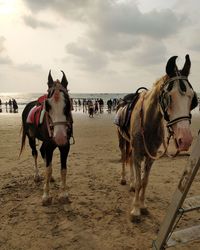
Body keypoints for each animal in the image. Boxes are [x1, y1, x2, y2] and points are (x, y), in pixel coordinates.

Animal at [19, 70, 73, 205]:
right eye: (47, 105)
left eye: (68, 103)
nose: (59, 137)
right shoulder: (50, 145)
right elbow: (47, 170)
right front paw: (46, 195)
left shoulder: (65, 146)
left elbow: (63, 169)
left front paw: (63, 194)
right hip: (31, 138)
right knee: (35, 153)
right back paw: (37, 175)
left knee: (42, 151)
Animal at [116, 55, 198, 223]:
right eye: (169, 96)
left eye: (192, 98)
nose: (185, 139)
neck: (148, 123)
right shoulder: (138, 153)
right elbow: (140, 181)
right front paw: (135, 210)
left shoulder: (151, 156)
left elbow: (144, 181)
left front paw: (142, 205)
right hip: (123, 141)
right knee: (124, 156)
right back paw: (123, 179)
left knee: (131, 162)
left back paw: (131, 183)